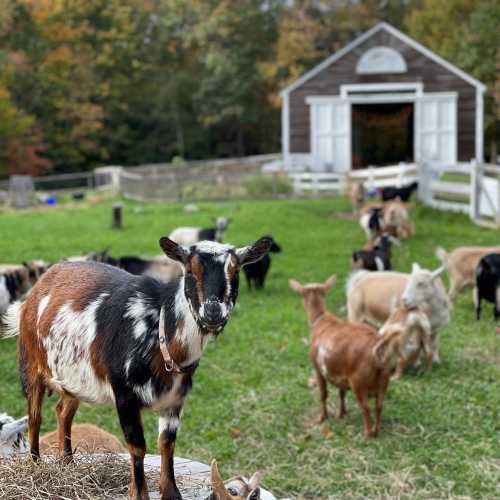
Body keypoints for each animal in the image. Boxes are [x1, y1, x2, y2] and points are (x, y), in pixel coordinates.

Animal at [0, 235, 272, 500]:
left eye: (235, 270)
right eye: (189, 270)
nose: (213, 312)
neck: (158, 329)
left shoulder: (175, 400)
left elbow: (167, 442)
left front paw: (170, 492)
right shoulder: (124, 395)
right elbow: (137, 445)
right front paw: (138, 493)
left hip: (74, 378)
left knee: (63, 412)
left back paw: (68, 463)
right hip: (31, 365)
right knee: (35, 417)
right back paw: (36, 465)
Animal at [290, 278, 414, 438]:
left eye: (302, 294)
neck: (321, 320)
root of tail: (377, 348)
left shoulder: (318, 368)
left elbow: (323, 394)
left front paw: (321, 418)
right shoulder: (341, 373)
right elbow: (341, 392)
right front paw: (341, 413)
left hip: (358, 382)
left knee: (366, 407)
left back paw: (366, 434)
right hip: (384, 379)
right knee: (379, 405)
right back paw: (375, 431)